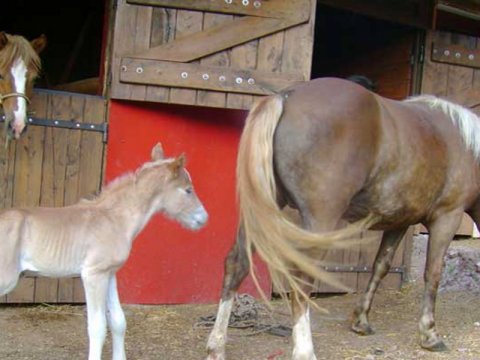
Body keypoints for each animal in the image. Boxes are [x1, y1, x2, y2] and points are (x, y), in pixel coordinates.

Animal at [0, 143, 208, 360]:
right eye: (188, 190)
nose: (203, 218)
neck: (114, 219)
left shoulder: (110, 273)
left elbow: (118, 321)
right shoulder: (93, 274)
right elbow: (98, 326)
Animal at [205, 79, 480, 360]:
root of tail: (287, 96)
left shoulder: (399, 222)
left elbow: (380, 266)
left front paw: (361, 320)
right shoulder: (447, 217)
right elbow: (433, 273)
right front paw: (429, 333)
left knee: (237, 264)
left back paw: (217, 345)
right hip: (320, 222)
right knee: (301, 280)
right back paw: (304, 350)